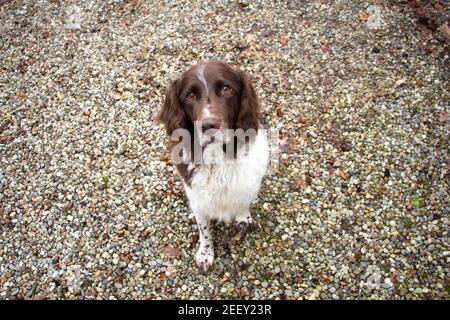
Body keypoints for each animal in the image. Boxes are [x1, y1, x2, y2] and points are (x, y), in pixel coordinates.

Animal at [156, 60, 268, 272]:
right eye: (190, 95)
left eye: (226, 88)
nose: (208, 125)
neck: (218, 158)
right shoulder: (197, 198)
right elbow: (204, 229)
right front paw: (205, 254)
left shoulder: (249, 183)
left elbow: (243, 201)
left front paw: (244, 219)